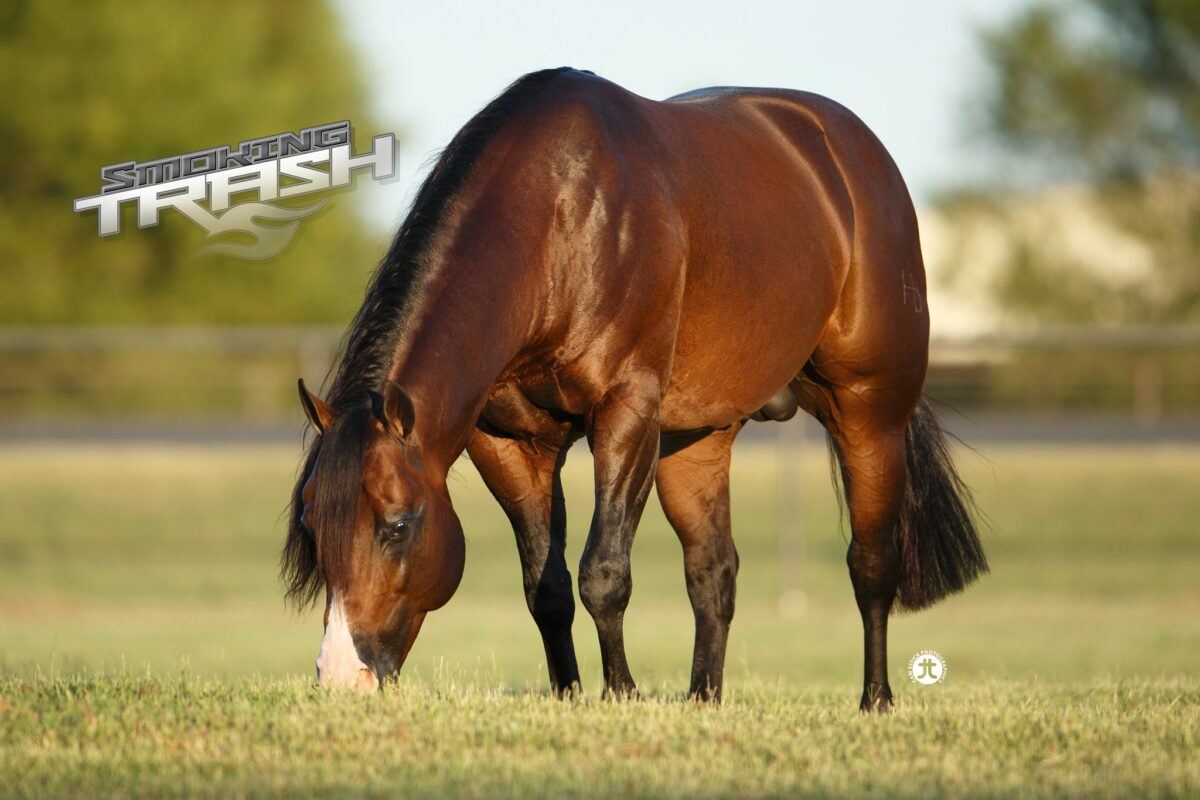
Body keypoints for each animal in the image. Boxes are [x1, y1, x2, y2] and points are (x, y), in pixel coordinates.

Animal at [283, 67, 987, 711]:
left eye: (397, 524)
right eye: (313, 524)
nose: (340, 676)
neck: (562, 221)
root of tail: (851, 150)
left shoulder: (625, 415)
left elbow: (603, 573)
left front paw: (621, 694)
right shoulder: (507, 442)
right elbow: (546, 586)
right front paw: (569, 694)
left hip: (869, 412)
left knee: (872, 562)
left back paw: (876, 700)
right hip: (695, 440)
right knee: (713, 571)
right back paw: (703, 700)